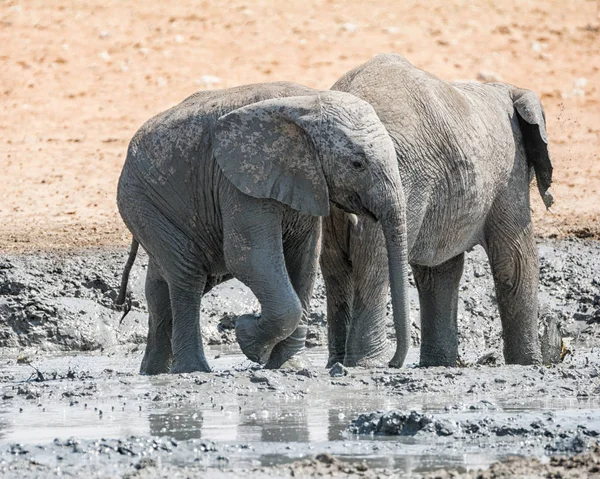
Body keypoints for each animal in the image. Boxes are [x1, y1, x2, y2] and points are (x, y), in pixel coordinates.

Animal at [115, 81, 412, 376]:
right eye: (357, 164)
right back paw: (193, 370)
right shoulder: (239, 179)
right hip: (140, 200)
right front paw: (248, 337)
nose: (393, 363)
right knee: (187, 275)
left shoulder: (306, 180)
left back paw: (153, 373)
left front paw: (288, 366)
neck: (307, 101)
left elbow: (304, 262)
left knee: (161, 283)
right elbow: (249, 259)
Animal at [324, 53, 552, 368]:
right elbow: (515, 260)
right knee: (375, 261)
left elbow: (438, 272)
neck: (505, 89)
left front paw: (437, 364)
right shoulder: (510, 174)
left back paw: (340, 362)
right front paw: (528, 364)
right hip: (395, 178)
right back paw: (368, 363)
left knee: (337, 264)